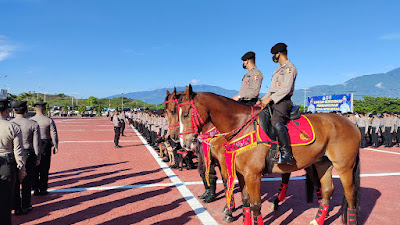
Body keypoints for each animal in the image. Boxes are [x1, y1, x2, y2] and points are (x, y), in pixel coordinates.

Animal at [178, 85, 360, 225]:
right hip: (322, 162)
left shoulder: (253, 175)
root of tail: (352, 124)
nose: (183, 143)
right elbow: (246, 201)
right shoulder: (241, 173)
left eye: (185, 114)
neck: (241, 126)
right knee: (328, 189)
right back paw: (318, 219)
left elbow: (255, 205)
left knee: (350, 194)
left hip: (344, 166)